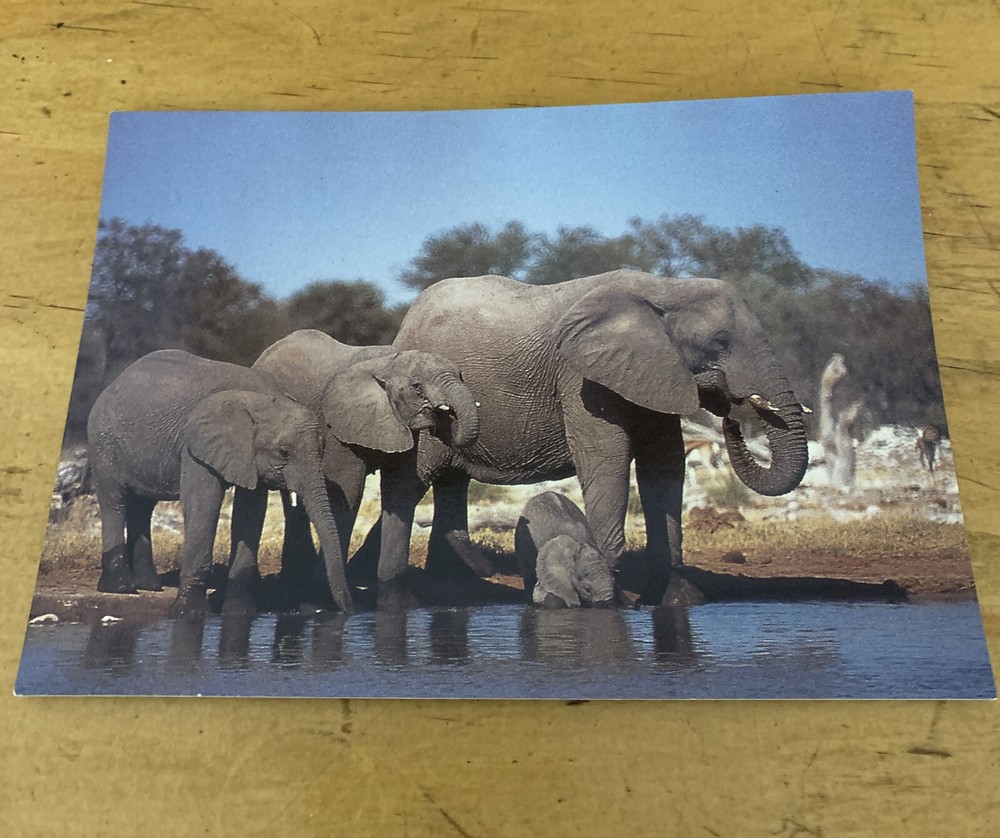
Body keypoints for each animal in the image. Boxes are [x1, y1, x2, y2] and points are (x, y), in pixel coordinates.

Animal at [87, 349, 353, 616]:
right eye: (283, 452)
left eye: (323, 450)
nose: (347, 609)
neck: (259, 399)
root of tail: (114, 382)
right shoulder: (195, 446)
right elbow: (204, 505)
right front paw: (188, 613)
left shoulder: (249, 457)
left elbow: (250, 513)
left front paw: (239, 612)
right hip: (103, 441)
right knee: (114, 501)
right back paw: (121, 588)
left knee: (143, 506)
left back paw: (149, 586)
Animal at [252, 330, 480, 600]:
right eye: (416, 386)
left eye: (461, 376)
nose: (446, 419)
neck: (387, 362)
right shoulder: (338, 427)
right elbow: (348, 493)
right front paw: (324, 587)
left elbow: (400, 491)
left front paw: (391, 583)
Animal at [392, 270, 810, 604]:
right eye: (720, 342)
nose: (731, 415)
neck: (666, 288)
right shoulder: (582, 380)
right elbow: (608, 461)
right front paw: (610, 598)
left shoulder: (655, 374)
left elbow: (664, 467)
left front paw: (677, 600)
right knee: (420, 480)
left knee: (451, 482)